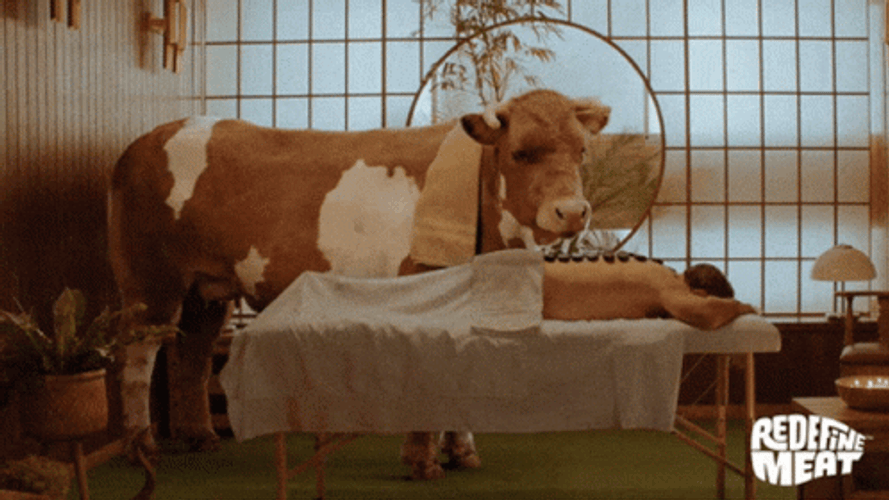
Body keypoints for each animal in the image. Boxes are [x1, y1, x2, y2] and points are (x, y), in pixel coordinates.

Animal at [108, 89, 610, 475]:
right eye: (520, 153)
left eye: (582, 152)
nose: (571, 211)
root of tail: (148, 139)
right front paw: (421, 461)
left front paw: (462, 452)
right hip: (149, 280)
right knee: (137, 357)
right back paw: (140, 447)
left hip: (208, 289)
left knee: (192, 355)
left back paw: (200, 437)